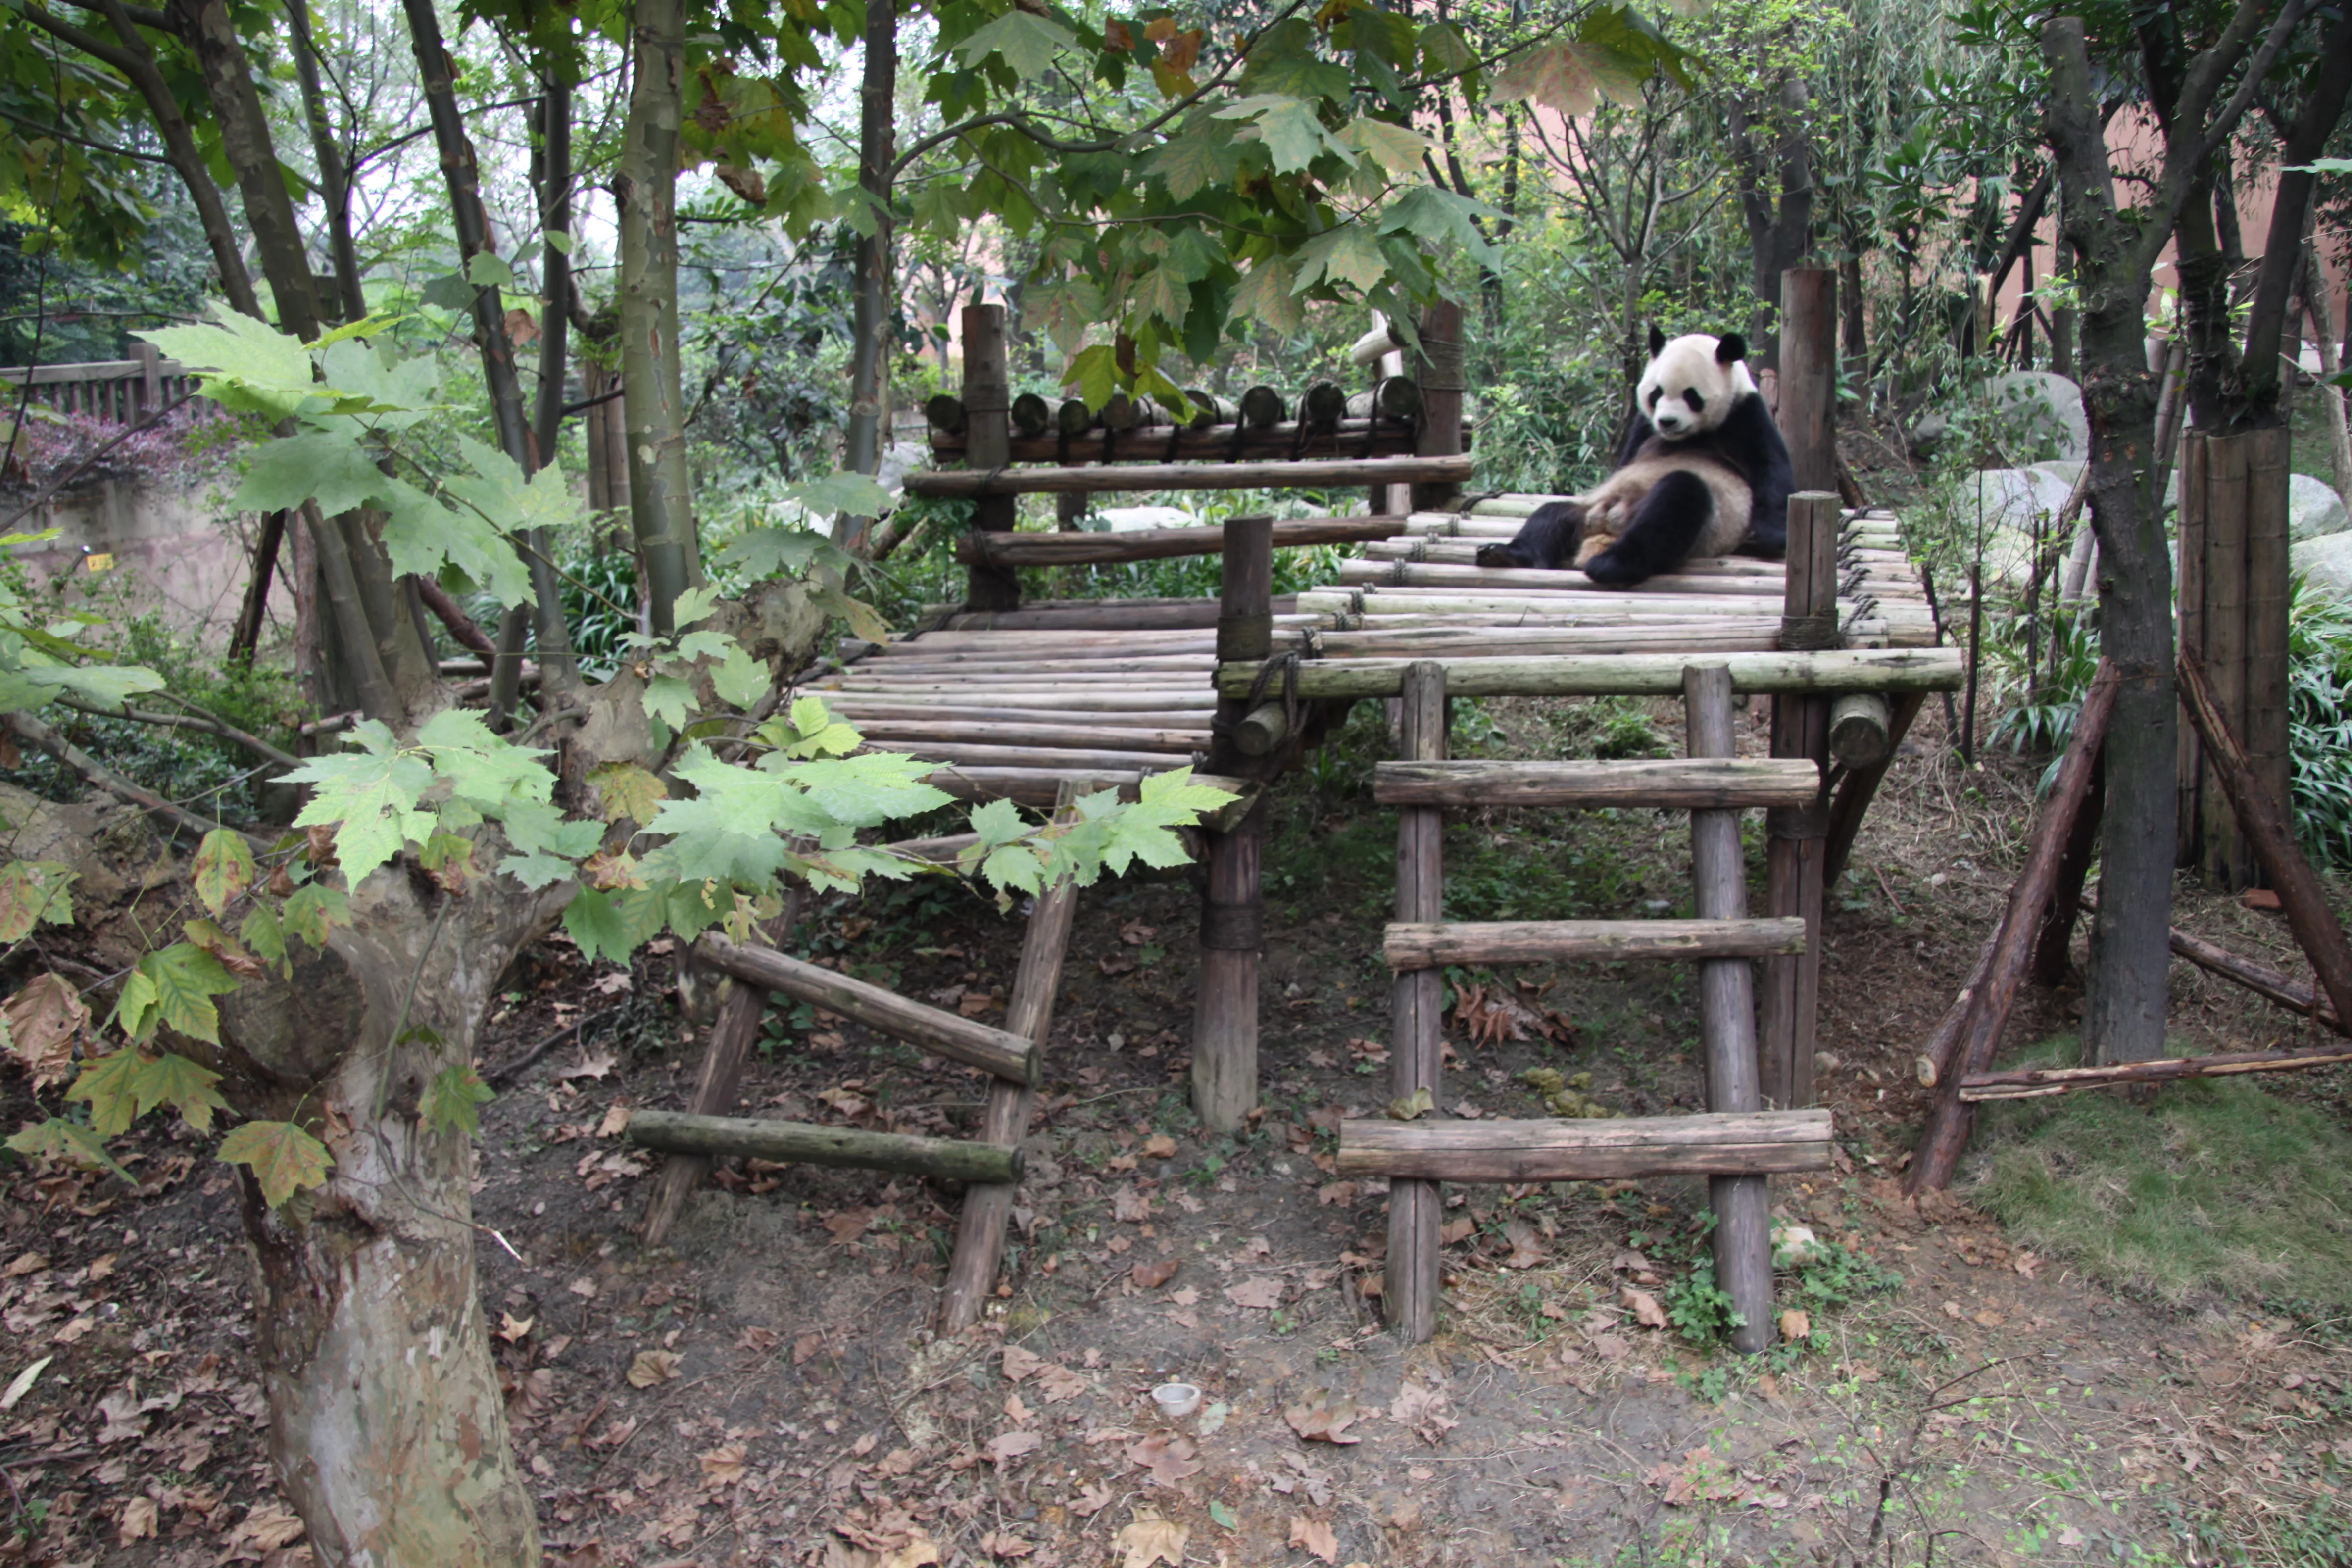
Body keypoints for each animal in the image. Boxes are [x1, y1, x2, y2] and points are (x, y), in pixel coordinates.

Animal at [1474, 328, 1793, 587]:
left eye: (1691, 396)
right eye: (1657, 393)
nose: (1667, 421)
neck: (1689, 436)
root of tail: (1607, 526)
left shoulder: (1746, 416)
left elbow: (1773, 474)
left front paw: (1768, 538)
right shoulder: (1643, 426)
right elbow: (1626, 460)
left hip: (1703, 527)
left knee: (1674, 504)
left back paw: (1612, 565)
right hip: (1585, 511)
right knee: (1551, 516)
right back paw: (1505, 555)